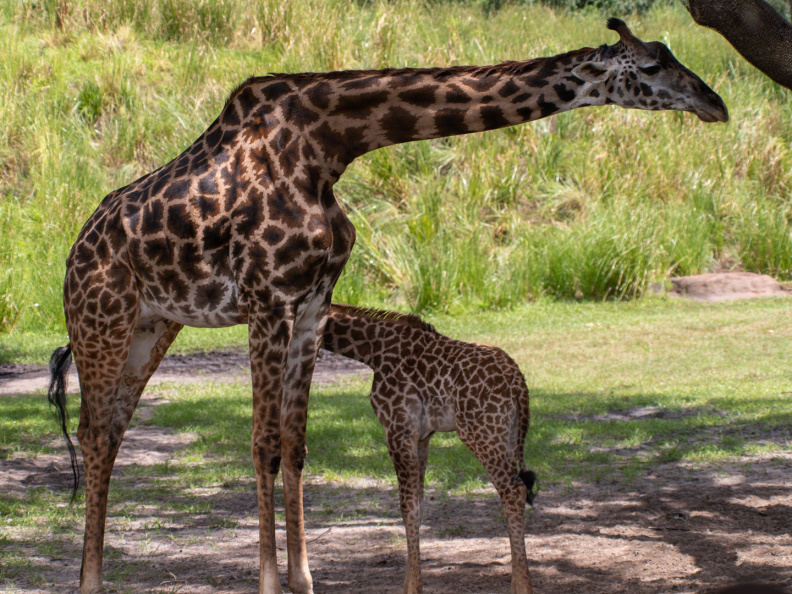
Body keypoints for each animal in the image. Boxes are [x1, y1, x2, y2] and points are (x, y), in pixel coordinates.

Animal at [322, 304, 536, 594]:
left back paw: (522, 587)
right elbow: (419, 504)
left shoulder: (398, 430)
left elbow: (407, 506)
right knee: (518, 488)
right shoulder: (422, 437)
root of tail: (518, 381)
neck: (373, 350)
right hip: (510, 433)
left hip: (480, 432)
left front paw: (412, 587)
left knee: (512, 492)